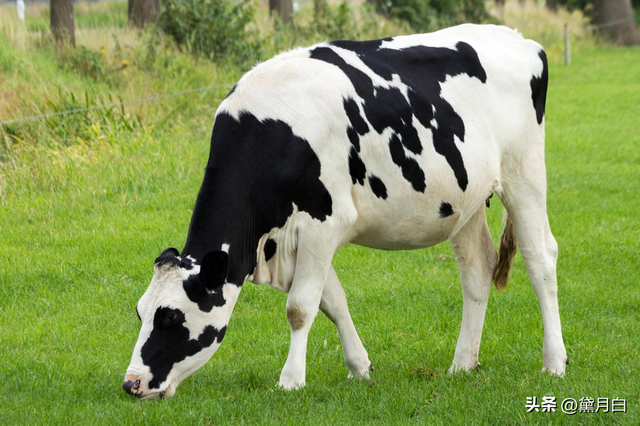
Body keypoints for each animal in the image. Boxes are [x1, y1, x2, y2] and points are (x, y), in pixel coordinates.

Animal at [122, 25, 568, 402]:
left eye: (169, 317)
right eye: (141, 311)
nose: (131, 384)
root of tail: (520, 38)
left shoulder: (323, 222)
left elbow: (300, 307)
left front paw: (290, 381)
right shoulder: (303, 236)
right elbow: (332, 301)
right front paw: (359, 367)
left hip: (524, 172)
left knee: (540, 258)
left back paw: (554, 362)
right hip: (465, 199)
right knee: (476, 268)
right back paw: (462, 364)